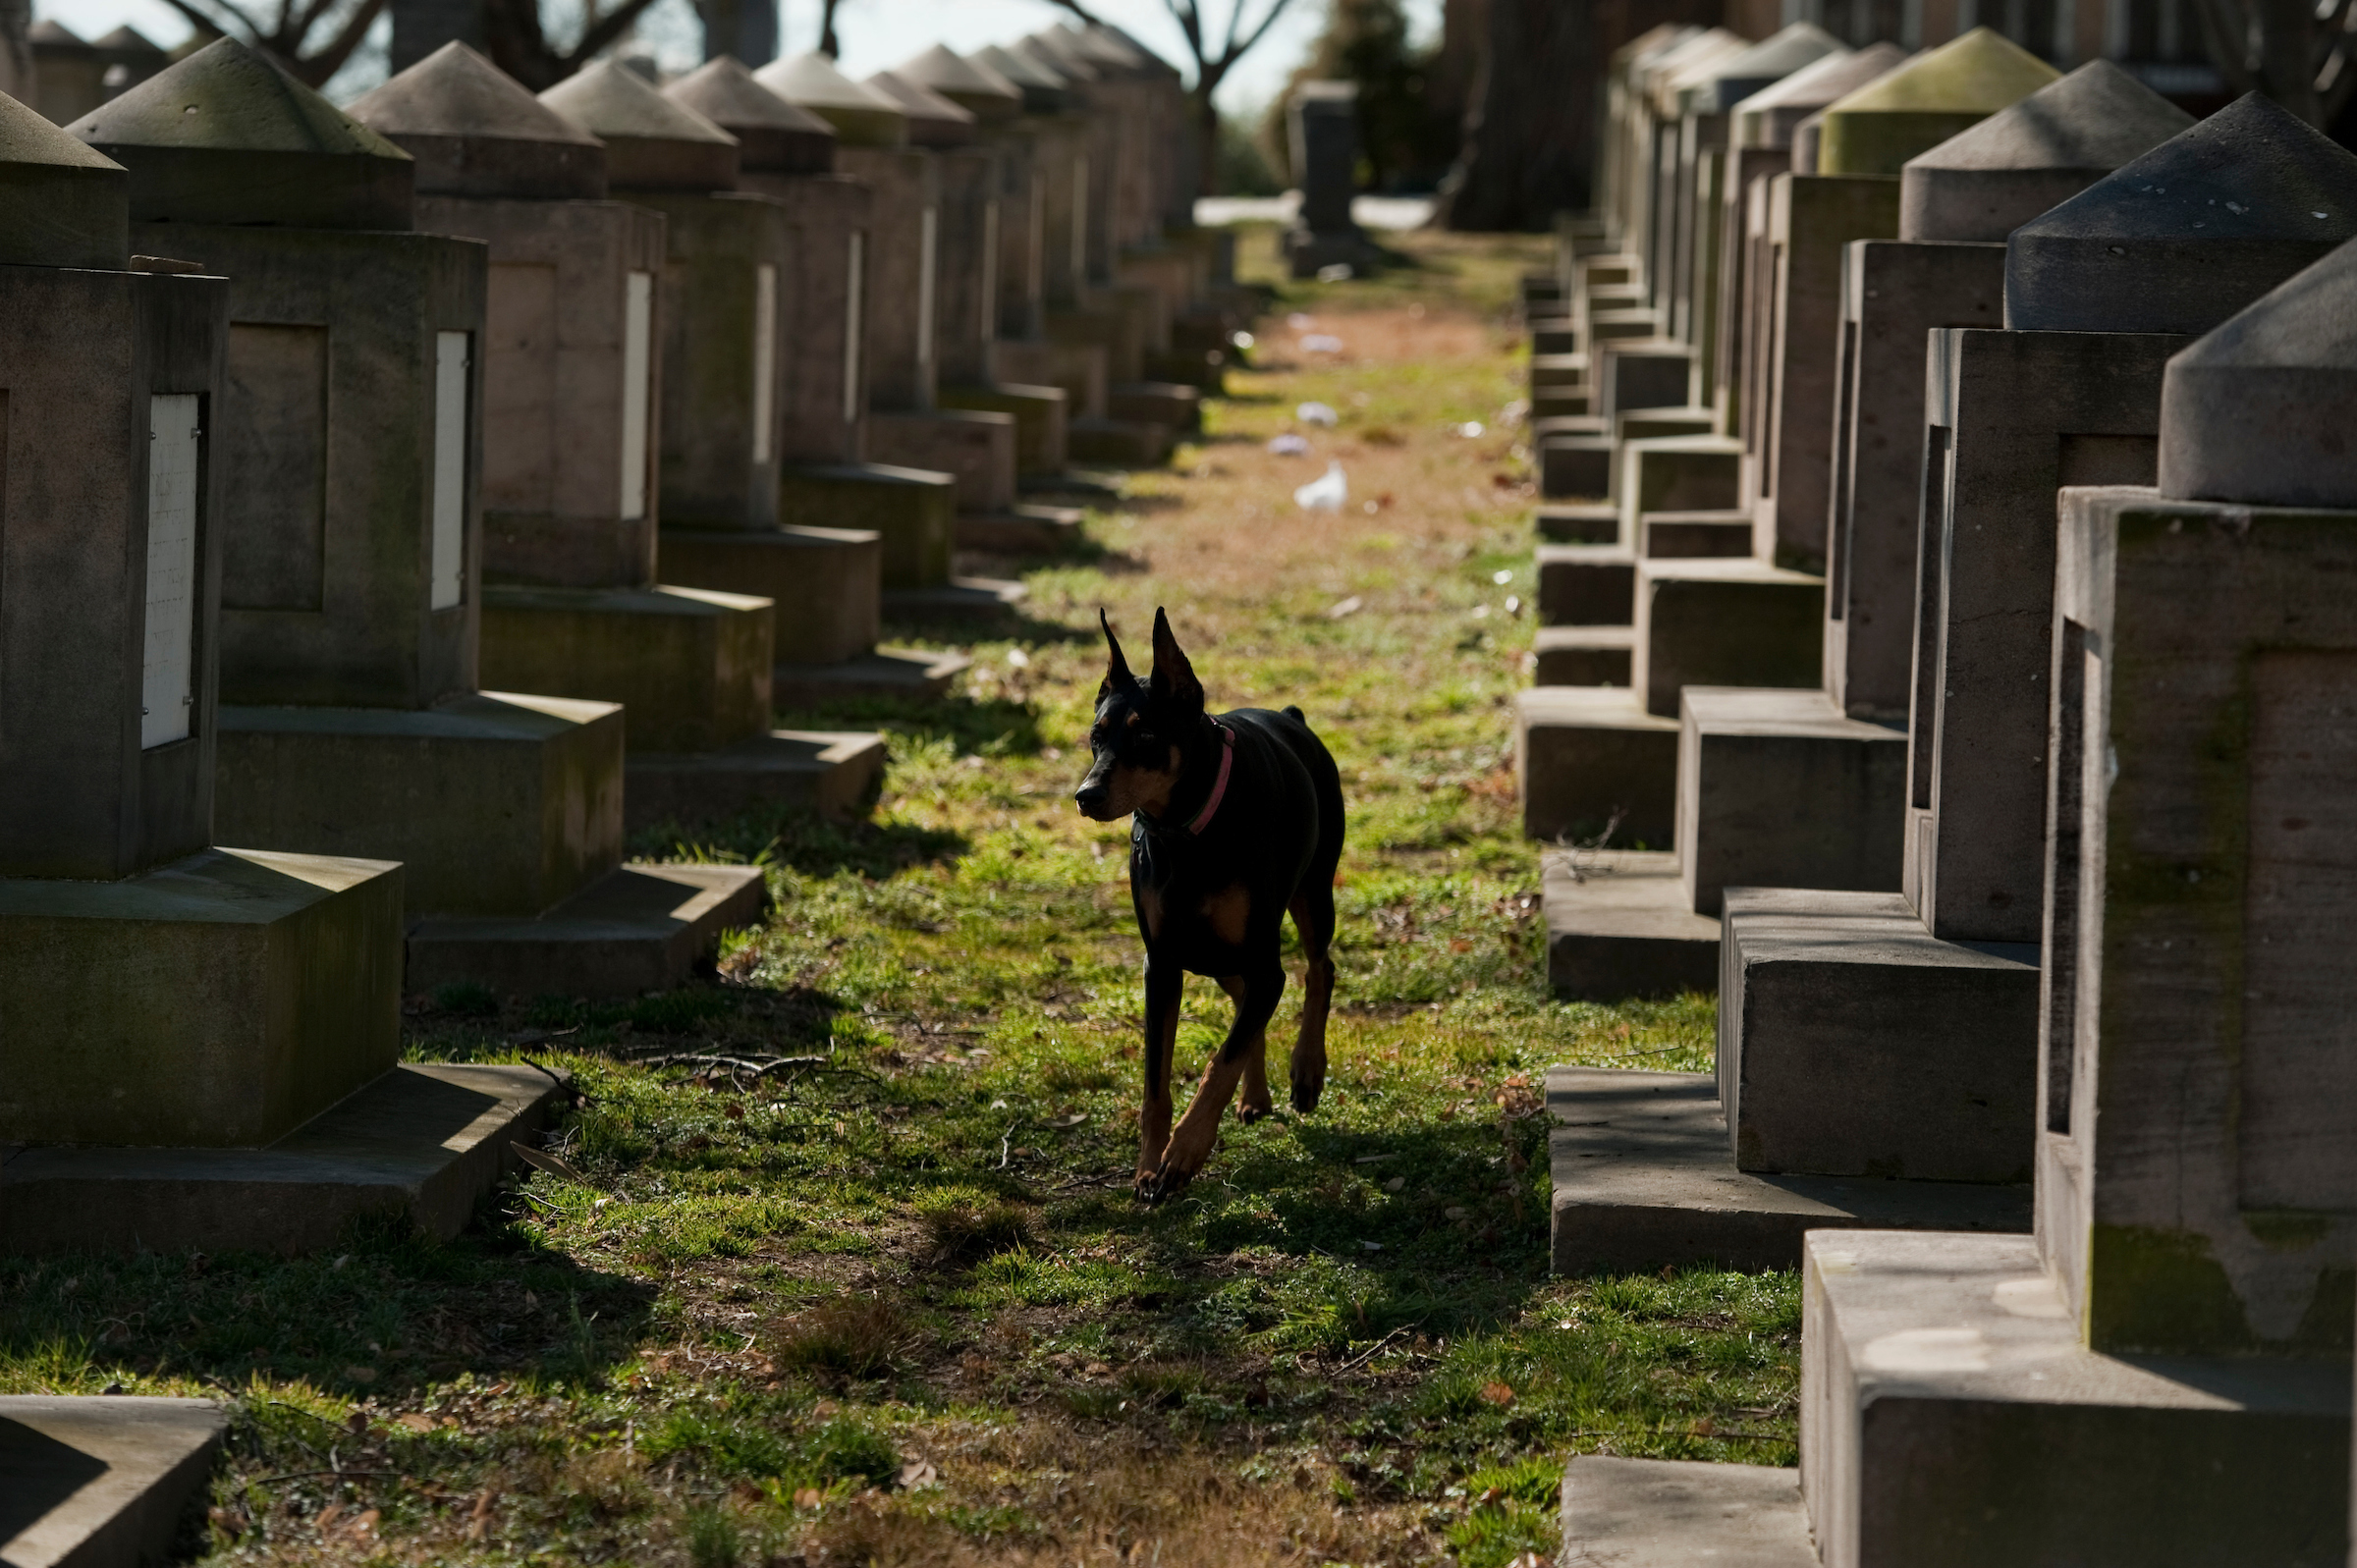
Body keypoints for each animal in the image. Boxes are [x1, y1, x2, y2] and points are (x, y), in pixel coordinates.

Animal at [1074, 608, 1347, 1197]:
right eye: (1095, 737)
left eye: (1146, 736)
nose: (1086, 795)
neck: (1185, 834)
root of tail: (1292, 717)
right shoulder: (1162, 963)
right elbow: (1156, 1083)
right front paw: (1149, 1166)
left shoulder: (1265, 965)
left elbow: (1222, 1059)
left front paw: (1184, 1153)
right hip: (1211, 952)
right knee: (1244, 1000)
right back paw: (1257, 1095)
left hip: (1312, 893)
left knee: (1319, 968)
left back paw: (1306, 1070)